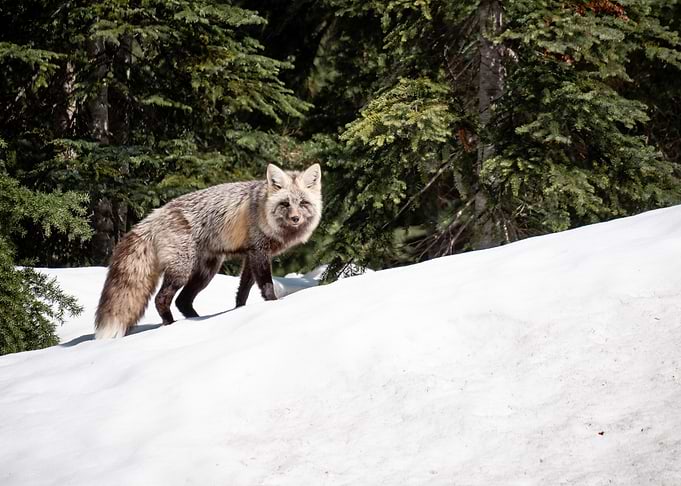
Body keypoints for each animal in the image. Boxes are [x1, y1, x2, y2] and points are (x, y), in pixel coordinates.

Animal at [94, 163, 322, 339]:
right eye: (285, 204)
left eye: (303, 203)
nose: (296, 218)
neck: (262, 210)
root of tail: (155, 215)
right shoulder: (259, 252)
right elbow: (266, 285)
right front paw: (273, 304)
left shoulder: (250, 255)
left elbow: (242, 292)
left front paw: (240, 312)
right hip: (182, 270)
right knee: (162, 299)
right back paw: (171, 325)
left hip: (206, 272)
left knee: (183, 301)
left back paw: (198, 320)